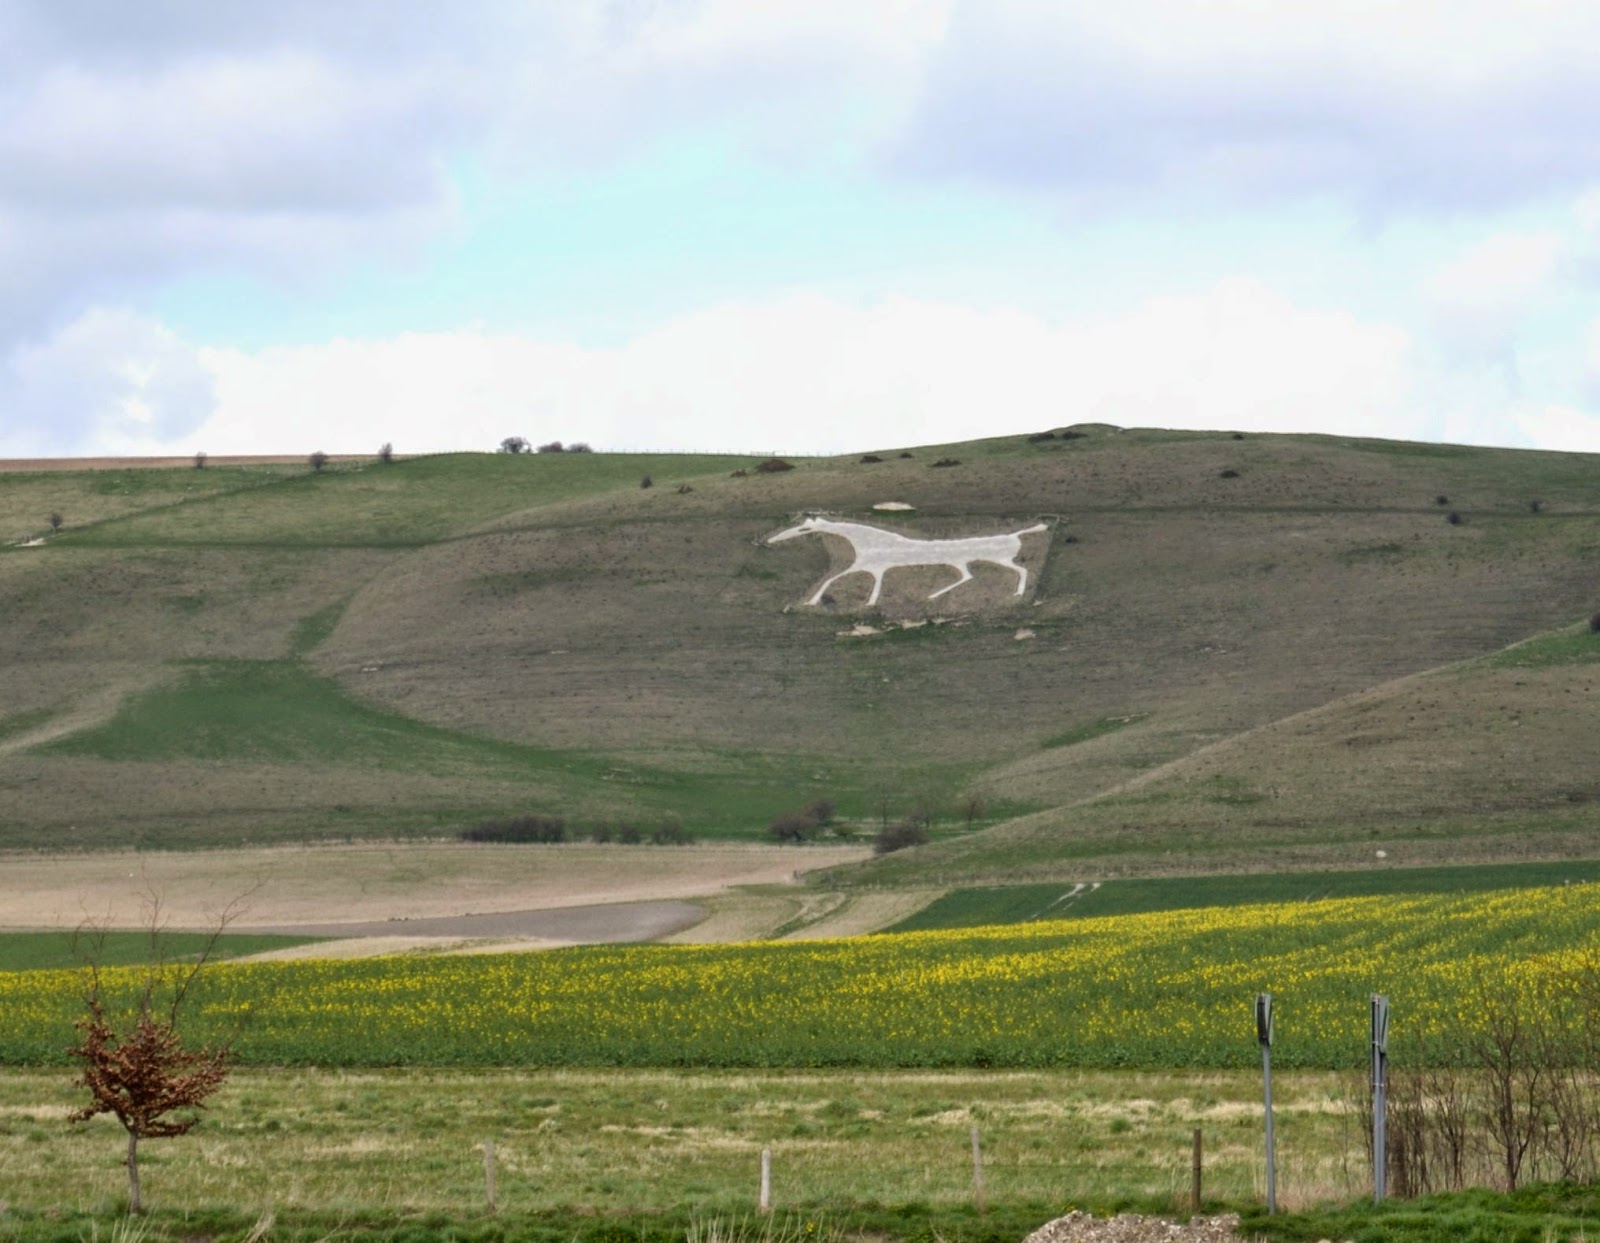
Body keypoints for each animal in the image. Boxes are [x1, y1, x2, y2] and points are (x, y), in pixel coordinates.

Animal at [766, 516, 1048, 606]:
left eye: (803, 528)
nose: (772, 539)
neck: (863, 540)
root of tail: (1015, 534)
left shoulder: (865, 566)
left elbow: (833, 580)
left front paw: (812, 601)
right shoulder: (873, 568)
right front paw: (870, 602)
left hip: (997, 559)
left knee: (1021, 569)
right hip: (963, 563)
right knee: (967, 576)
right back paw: (932, 595)